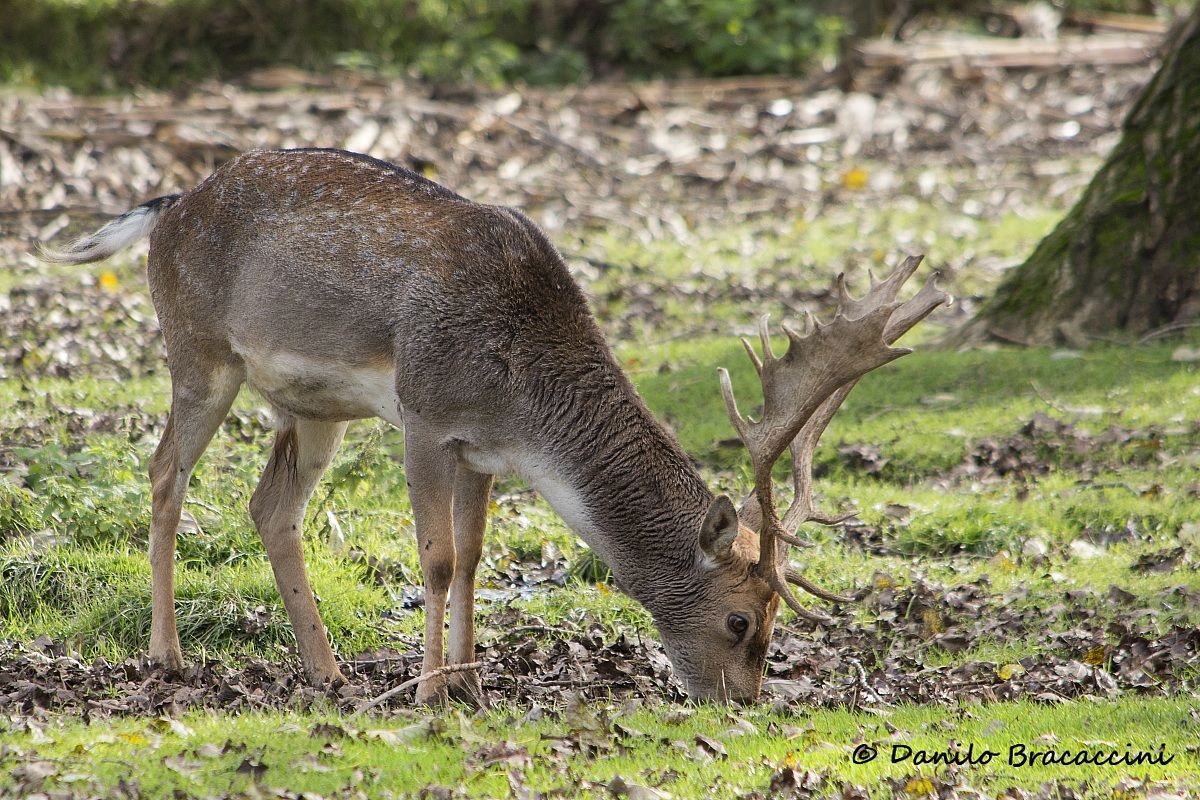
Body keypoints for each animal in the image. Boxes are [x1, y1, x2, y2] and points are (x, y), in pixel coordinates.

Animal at [41, 148, 948, 704]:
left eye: (775, 620)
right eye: (739, 620)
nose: (743, 701)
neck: (523, 400)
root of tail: (167, 207)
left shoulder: (483, 452)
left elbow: (475, 557)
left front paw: (474, 681)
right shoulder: (424, 413)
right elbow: (437, 560)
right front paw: (429, 689)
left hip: (312, 407)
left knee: (270, 508)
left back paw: (327, 670)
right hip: (197, 349)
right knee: (165, 471)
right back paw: (166, 653)